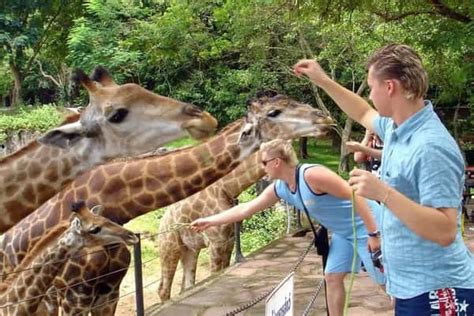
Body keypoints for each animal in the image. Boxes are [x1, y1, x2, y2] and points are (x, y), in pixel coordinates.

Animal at [157, 149, 264, 300]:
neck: (226, 188)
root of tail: (161, 222)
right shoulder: (215, 242)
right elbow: (215, 273)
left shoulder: (229, 239)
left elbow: (224, 268)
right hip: (170, 247)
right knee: (163, 289)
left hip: (189, 250)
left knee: (187, 285)